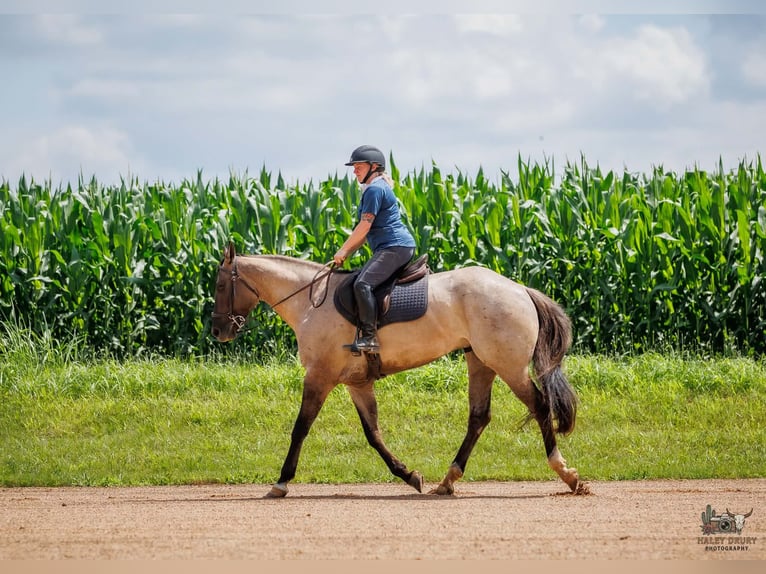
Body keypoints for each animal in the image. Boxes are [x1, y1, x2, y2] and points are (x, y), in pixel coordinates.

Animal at [210, 242, 584, 498]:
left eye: (219, 286)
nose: (217, 331)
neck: (311, 301)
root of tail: (519, 288)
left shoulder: (319, 376)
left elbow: (300, 428)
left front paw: (282, 482)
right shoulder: (357, 383)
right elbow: (373, 434)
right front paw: (409, 475)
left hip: (508, 366)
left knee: (540, 405)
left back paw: (567, 474)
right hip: (480, 362)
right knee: (479, 417)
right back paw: (447, 480)